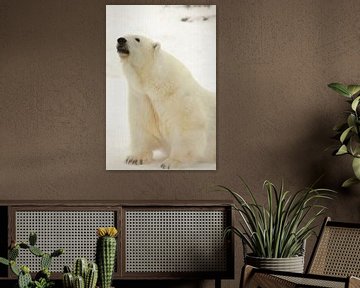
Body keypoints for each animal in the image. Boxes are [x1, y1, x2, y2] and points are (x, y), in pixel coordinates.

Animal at [116, 34, 215, 169]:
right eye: (124, 36)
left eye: (137, 39)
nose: (121, 40)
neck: (157, 83)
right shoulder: (142, 98)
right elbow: (142, 126)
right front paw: (135, 158)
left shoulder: (178, 97)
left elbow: (187, 128)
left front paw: (171, 162)